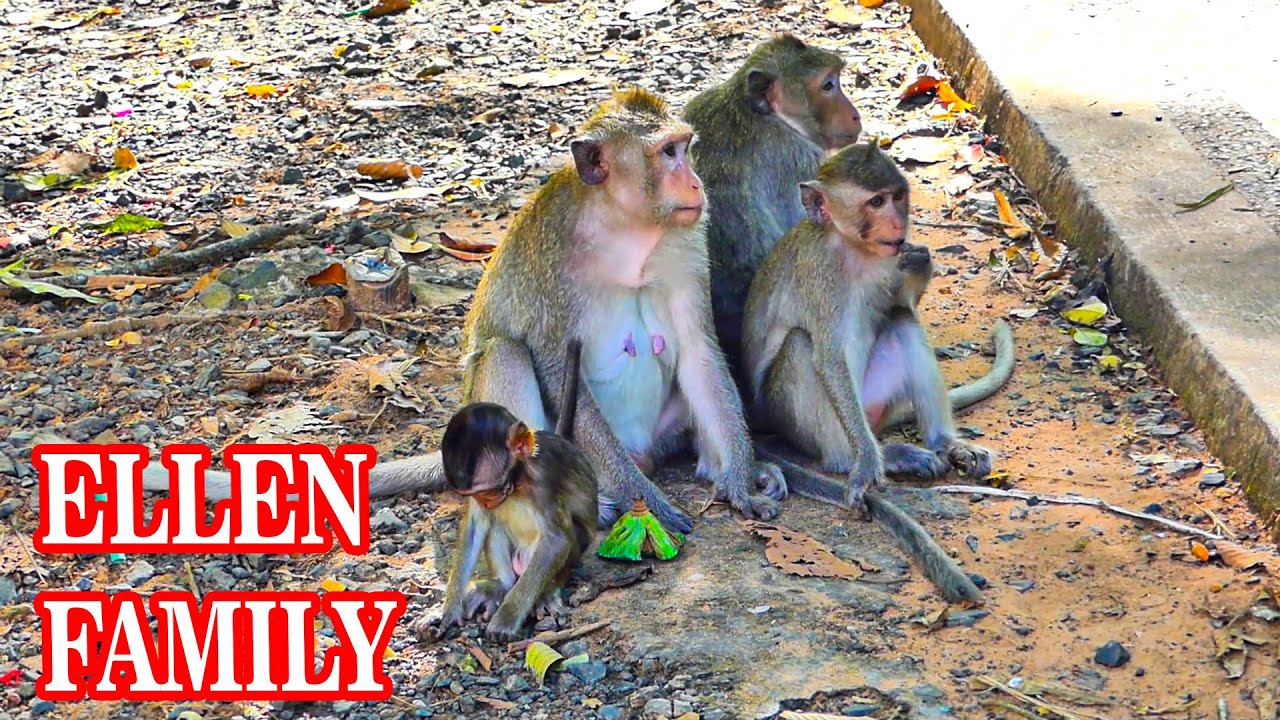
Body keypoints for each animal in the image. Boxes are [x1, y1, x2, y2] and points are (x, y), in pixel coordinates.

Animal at [142, 88, 786, 535]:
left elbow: (700, 352)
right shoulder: (553, 257)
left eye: (685, 149)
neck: (628, 229)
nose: (696, 183)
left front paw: (741, 480)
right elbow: (555, 363)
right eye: (668, 153)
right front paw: (643, 501)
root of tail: (641, 449)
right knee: (507, 355)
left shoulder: (687, 239)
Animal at [427, 339, 596, 642]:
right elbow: (475, 527)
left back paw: (545, 593)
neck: (518, 482)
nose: (488, 502)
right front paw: (451, 608)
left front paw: (507, 618)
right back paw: (501, 586)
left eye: (492, 491)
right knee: (494, 526)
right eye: (478, 495)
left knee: (569, 536)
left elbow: (558, 540)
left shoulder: (545, 479)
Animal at [741, 141, 1015, 603]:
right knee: (800, 347)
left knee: (901, 320)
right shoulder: (822, 278)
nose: (897, 222)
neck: (855, 251)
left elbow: (903, 302)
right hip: (809, 421)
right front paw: (868, 465)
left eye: (897, 195)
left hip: (876, 399)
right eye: (875, 202)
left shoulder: (890, 260)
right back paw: (870, 456)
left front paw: (921, 263)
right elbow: (829, 358)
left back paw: (945, 444)